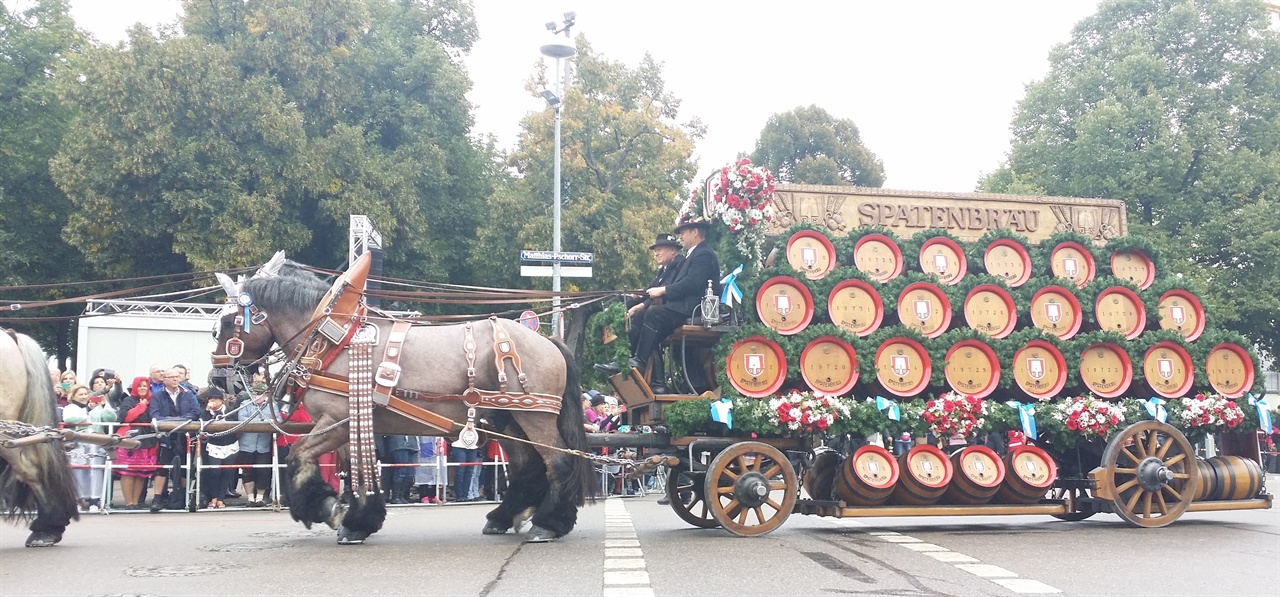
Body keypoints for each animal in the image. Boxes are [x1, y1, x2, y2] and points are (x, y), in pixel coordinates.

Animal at [209, 253, 593, 543]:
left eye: (227, 324)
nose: (217, 379)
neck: (333, 339)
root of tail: (548, 341)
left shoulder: (336, 421)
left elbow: (300, 458)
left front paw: (330, 511)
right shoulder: (346, 424)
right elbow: (353, 470)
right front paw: (353, 518)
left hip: (533, 415)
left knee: (558, 462)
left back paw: (547, 523)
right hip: (505, 419)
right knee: (528, 465)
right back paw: (506, 516)